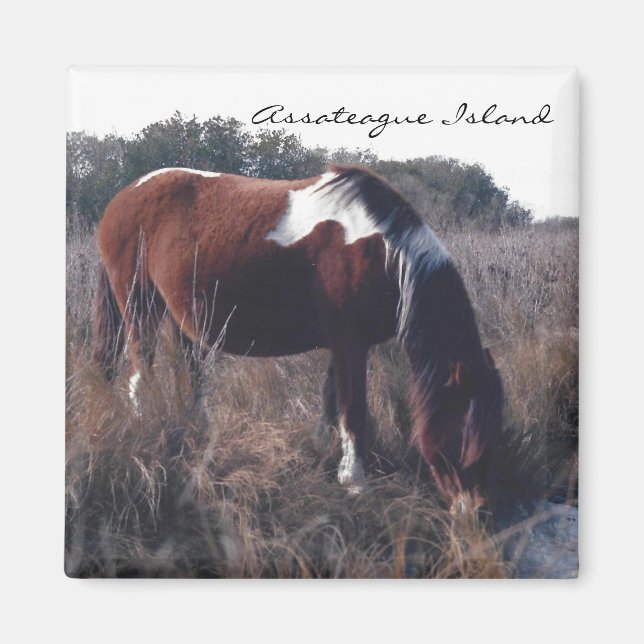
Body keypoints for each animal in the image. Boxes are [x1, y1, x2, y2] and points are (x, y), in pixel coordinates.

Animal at [92, 164, 504, 511]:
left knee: (190, 373)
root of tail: (120, 199)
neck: (383, 251)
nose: (476, 509)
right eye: (462, 436)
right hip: (139, 308)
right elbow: (353, 409)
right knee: (140, 375)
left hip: (179, 317)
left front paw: (324, 456)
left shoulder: (345, 343)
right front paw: (356, 482)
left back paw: (199, 432)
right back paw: (146, 431)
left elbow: (331, 400)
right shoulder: (350, 342)